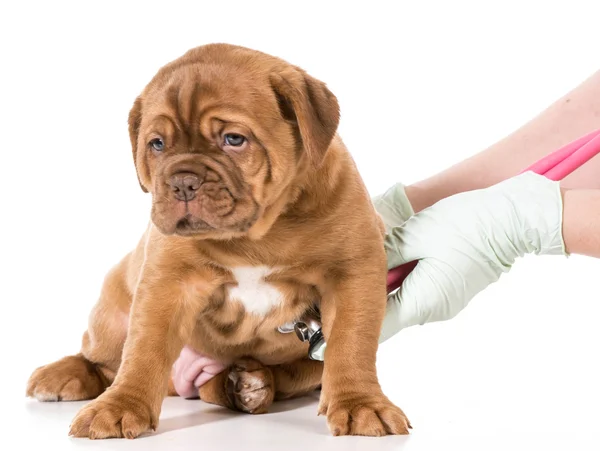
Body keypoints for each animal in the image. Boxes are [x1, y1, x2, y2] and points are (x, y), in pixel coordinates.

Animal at [25, 44, 410, 440]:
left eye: (234, 139)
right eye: (157, 144)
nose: (182, 182)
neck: (257, 234)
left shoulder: (352, 272)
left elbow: (351, 343)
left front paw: (360, 403)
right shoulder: (168, 281)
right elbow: (144, 347)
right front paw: (119, 407)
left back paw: (247, 386)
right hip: (112, 307)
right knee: (104, 359)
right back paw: (65, 374)